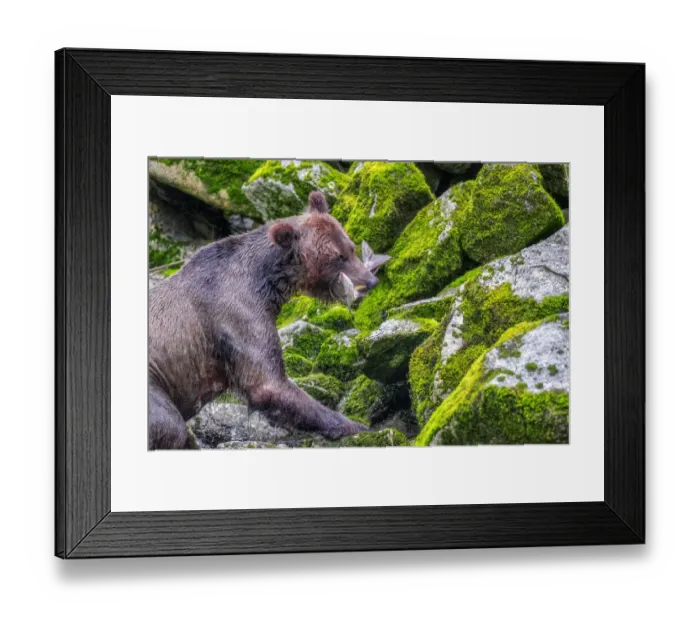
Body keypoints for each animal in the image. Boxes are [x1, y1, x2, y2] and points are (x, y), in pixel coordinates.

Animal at [148, 191, 381, 449]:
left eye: (350, 247)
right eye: (338, 257)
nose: (370, 280)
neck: (268, 283)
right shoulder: (236, 315)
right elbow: (268, 384)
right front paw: (354, 425)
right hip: (153, 385)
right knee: (172, 425)